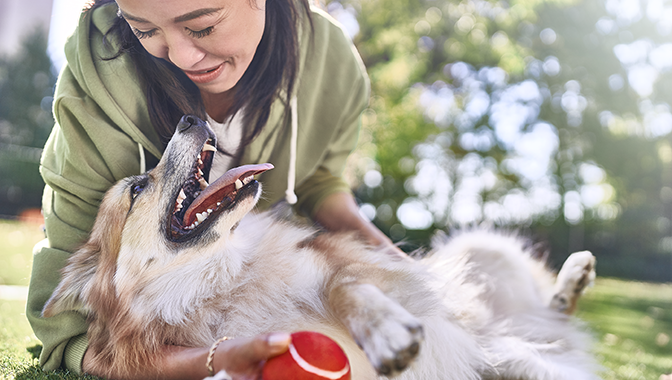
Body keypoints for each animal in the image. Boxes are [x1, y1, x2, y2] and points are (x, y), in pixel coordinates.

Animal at [42, 115, 600, 380]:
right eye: (137, 187)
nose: (188, 117)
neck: (220, 282)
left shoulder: (346, 263)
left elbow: (343, 285)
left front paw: (385, 331)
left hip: (482, 253)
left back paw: (573, 278)